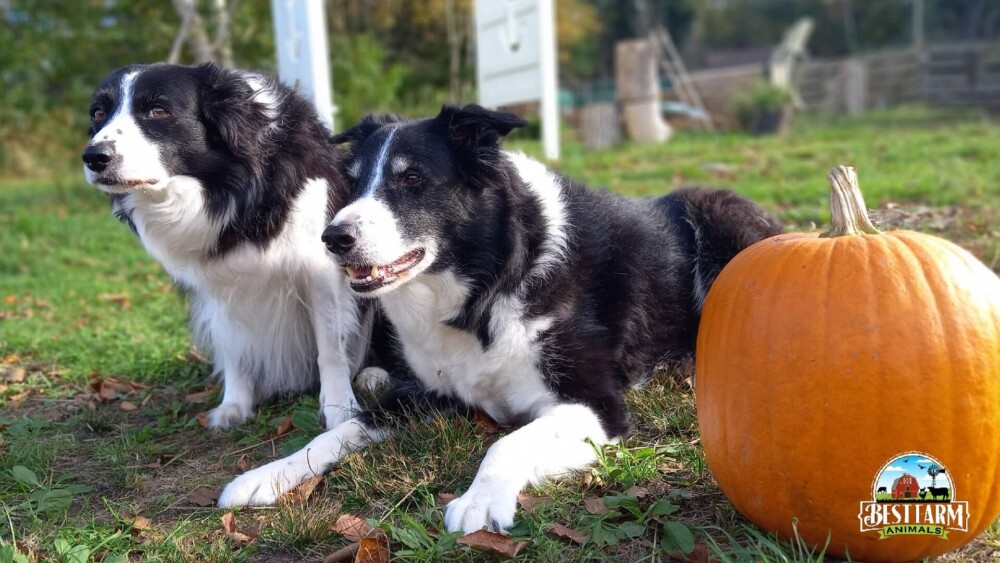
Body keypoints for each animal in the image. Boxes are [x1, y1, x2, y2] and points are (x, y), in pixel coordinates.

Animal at [82, 62, 384, 432]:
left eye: (158, 111)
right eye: (98, 113)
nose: (94, 157)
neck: (234, 188)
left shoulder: (322, 271)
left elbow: (330, 346)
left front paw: (340, 409)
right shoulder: (218, 284)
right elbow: (234, 344)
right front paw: (234, 406)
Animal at [219, 106, 780, 532]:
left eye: (412, 179)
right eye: (353, 185)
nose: (332, 238)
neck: (486, 282)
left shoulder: (596, 405)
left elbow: (508, 442)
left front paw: (480, 500)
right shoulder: (429, 394)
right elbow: (338, 432)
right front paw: (267, 475)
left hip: (722, 222)